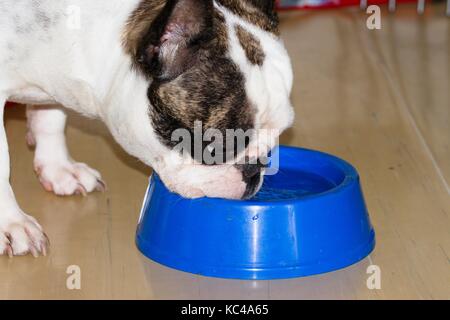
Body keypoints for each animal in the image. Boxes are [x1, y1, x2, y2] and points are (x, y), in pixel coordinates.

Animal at [0, 0, 294, 256]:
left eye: (275, 140)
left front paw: (59, 168)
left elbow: (50, 118)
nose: (255, 169)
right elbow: (3, 164)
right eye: (216, 147)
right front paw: (12, 224)